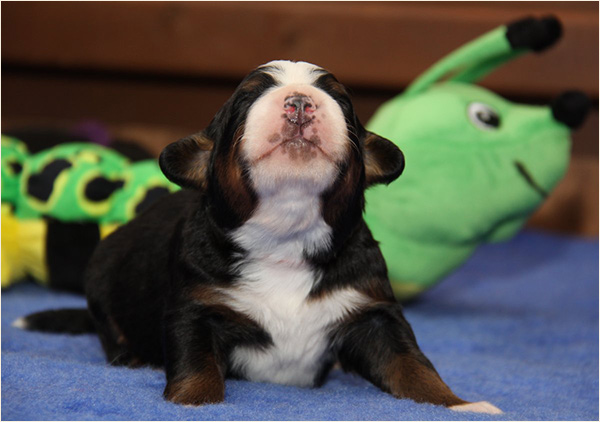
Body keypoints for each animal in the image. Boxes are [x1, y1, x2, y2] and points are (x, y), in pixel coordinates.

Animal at [18, 60, 501, 414]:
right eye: (249, 96)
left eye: (341, 100)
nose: (300, 102)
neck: (285, 240)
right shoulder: (194, 308)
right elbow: (196, 366)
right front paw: (193, 404)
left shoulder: (372, 311)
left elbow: (412, 365)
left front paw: (461, 406)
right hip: (100, 278)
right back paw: (131, 359)